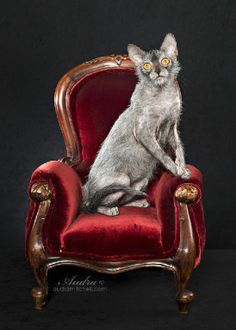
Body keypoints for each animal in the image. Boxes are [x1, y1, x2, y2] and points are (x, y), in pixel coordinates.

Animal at [82, 32, 191, 215]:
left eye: (165, 61)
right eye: (147, 65)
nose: (157, 71)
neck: (164, 96)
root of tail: (85, 193)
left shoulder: (171, 127)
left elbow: (179, 149)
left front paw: (182, 169)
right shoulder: (143, 131)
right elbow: (162, 154)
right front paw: (175, 169)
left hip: (141, 181)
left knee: (122, 200)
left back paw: (140, 203)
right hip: (121, 181)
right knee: (94, 207)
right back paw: (109, 211)